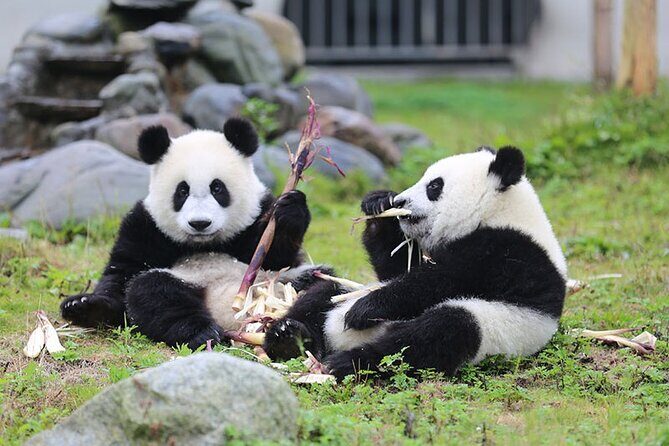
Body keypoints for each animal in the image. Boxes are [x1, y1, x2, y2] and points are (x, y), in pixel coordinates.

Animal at [60, 117, 323, 349]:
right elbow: (123, 273)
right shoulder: (145, 226)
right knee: (153, 291)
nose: (200, 223)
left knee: (320, 289)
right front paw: (85, 306)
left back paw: (287, 334)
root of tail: (230, 318)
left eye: (217, 188)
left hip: (284, 283)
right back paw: (205, 333)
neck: (205, 244)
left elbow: (278, 257)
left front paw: (290, 209)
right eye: (182, 191)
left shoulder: (257, 214)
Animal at [263, 146, 567, 380]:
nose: (400, 201)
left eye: (434, 186)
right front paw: (378, 204)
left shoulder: (507, 251)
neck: (499, 212)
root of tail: (337, 339)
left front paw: (365, 309)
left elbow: (441, 280)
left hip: (494, 326)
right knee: (322, 295)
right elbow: (397, 268)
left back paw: (347, 360)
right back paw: (288, 337)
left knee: (435, 335)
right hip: (346, 290)